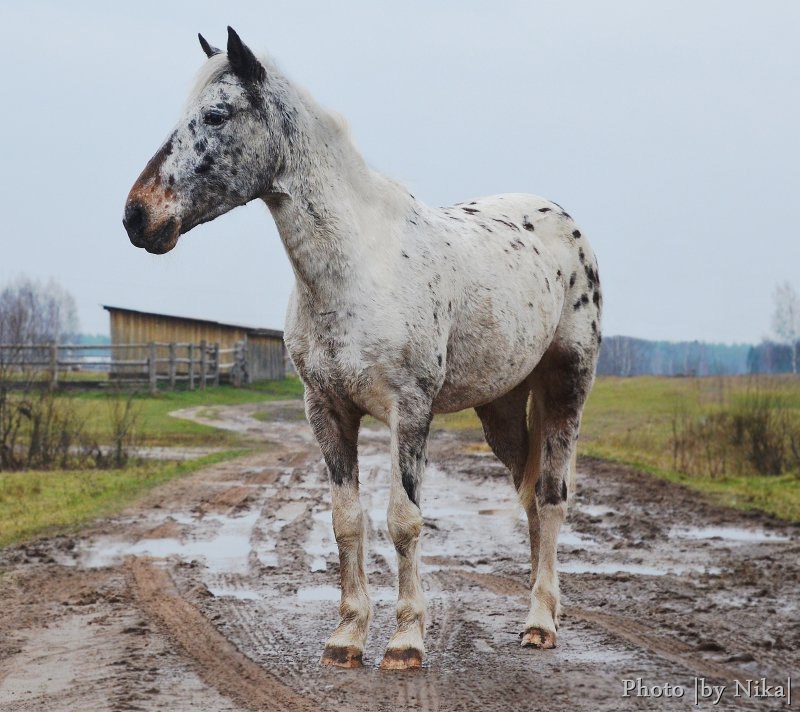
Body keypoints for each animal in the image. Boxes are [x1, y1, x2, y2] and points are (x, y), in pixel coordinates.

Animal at [123, 27, 600, 672]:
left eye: (216, 115)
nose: (137, 215)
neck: (357, 269)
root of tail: (566, 225)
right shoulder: (326, 411)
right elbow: (346, 521)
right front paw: (347, 637)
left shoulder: (409, 410)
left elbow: (404, 520)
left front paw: (405, 643)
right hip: (501, 408)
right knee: (526, 498)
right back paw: (535, 610)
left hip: (566, 387)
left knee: (550, 497)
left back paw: (541, 624)